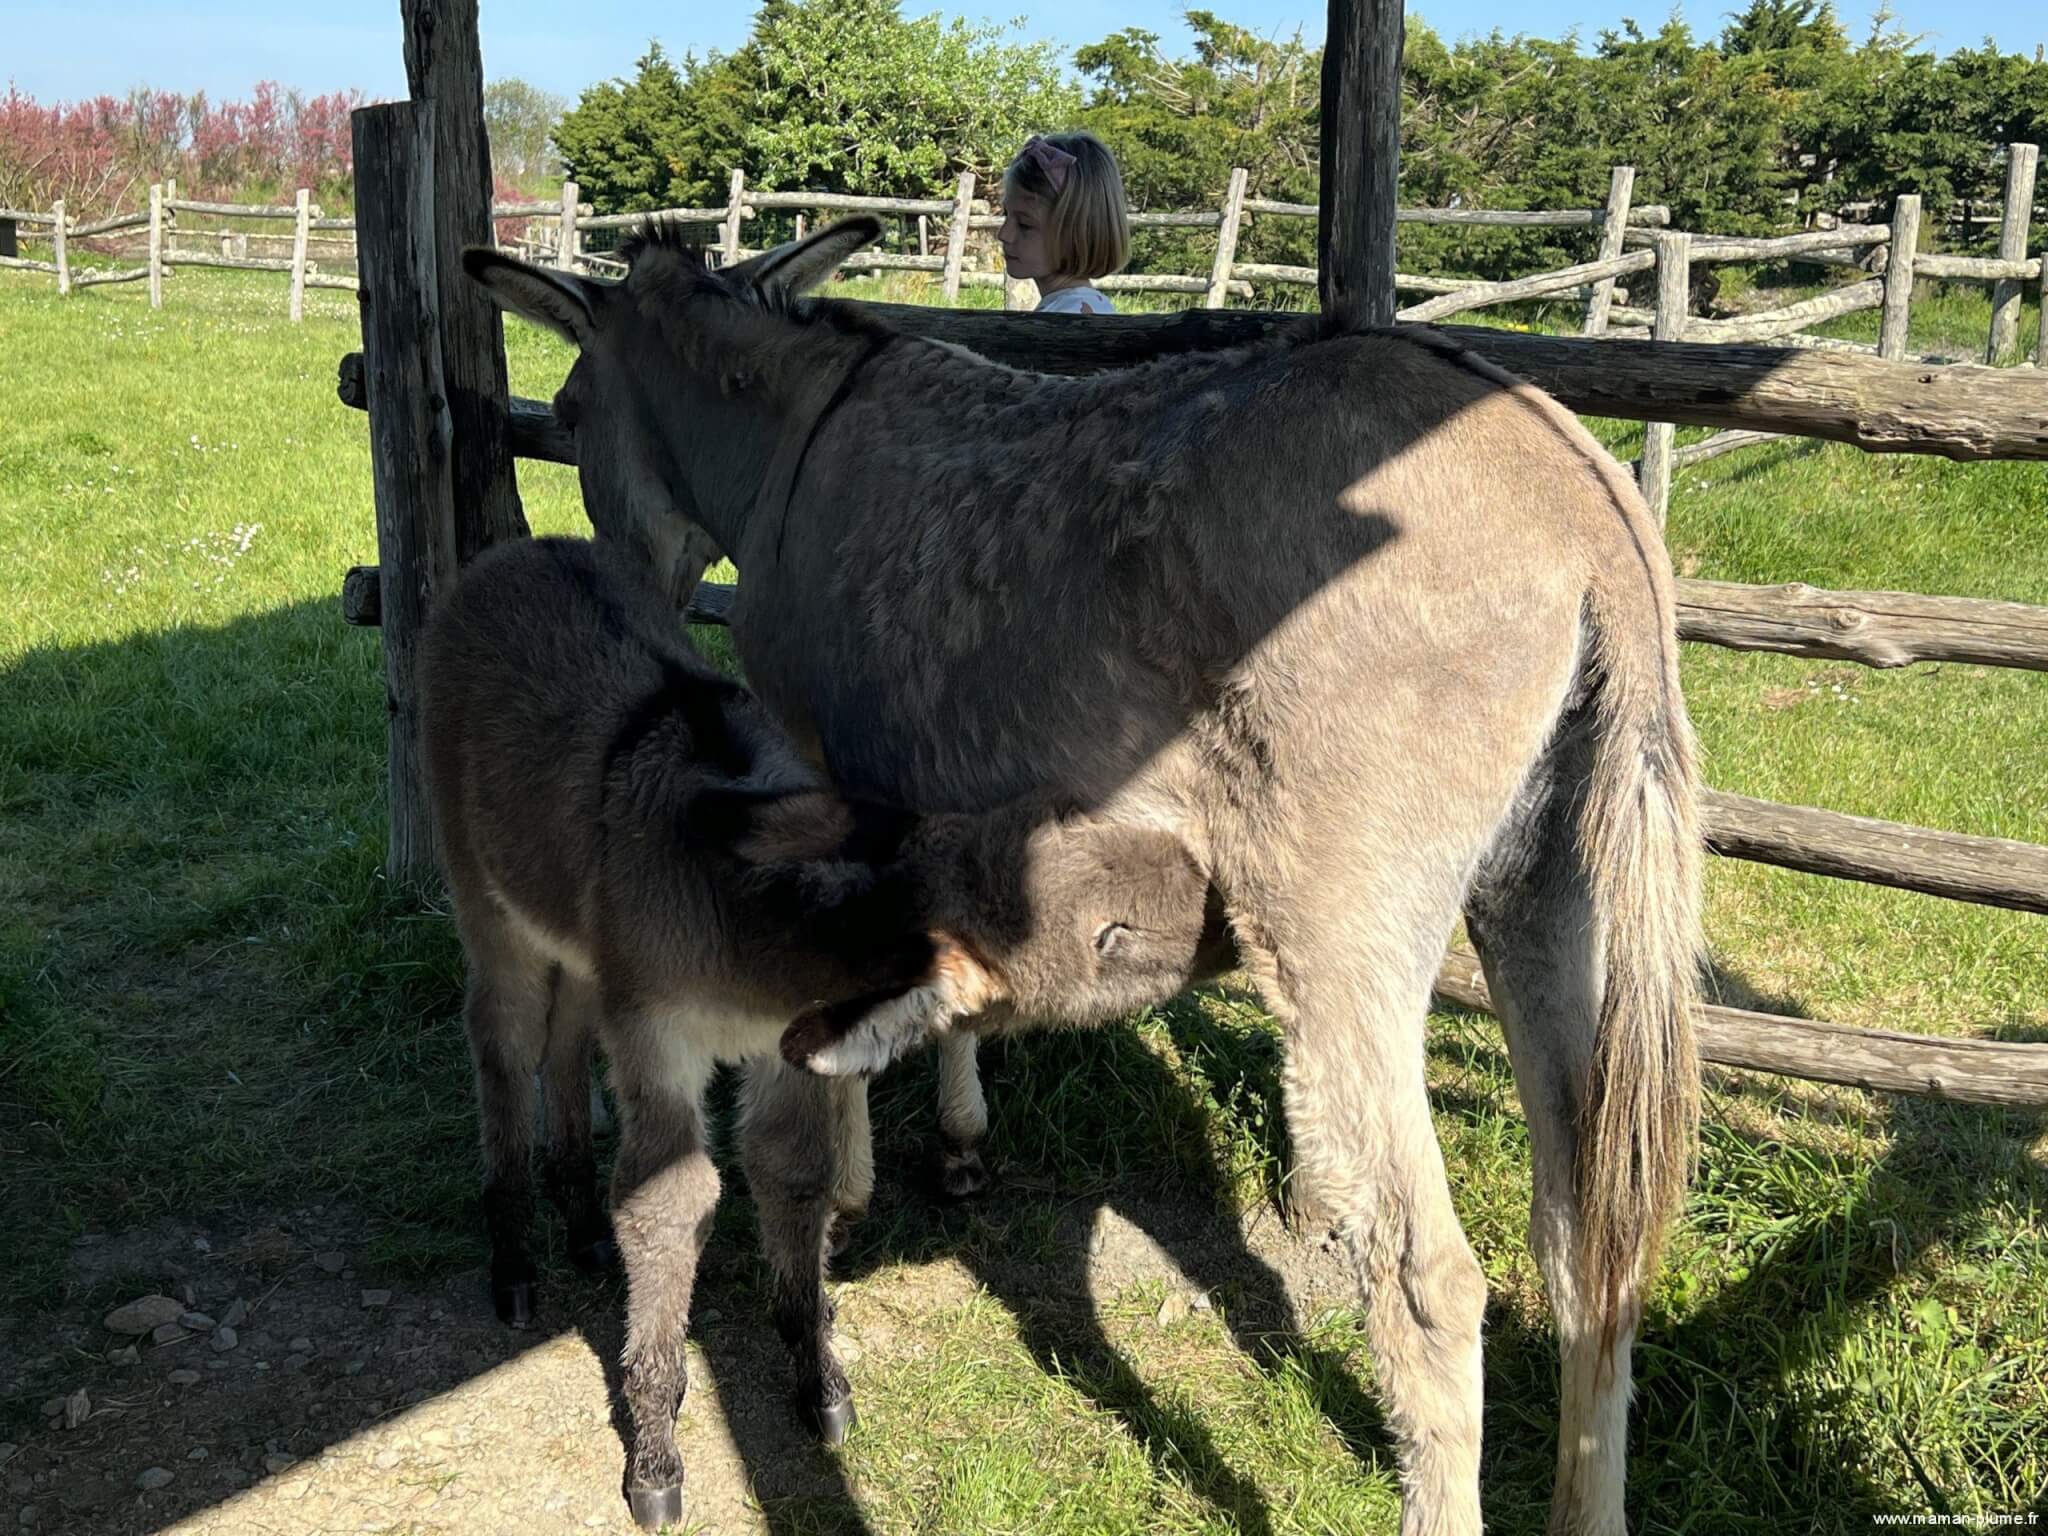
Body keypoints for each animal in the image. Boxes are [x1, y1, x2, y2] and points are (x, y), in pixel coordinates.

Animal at [421, 536, 1204, 1531]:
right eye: (1110, 936)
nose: (1215, 892)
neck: (742, 935)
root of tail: (521, 551)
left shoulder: (774, 1043)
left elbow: (793, 1170)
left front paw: (816, 1373)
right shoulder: (658, 1039)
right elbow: (670, 1206)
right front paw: (655, 1455)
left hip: (577, 941)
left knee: (564, 1041)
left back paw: (581, 1223)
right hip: (486, 898)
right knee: (505, 1043)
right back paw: (517, 1259)